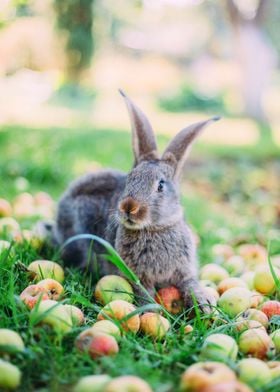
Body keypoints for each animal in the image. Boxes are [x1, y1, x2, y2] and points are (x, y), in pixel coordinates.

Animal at [52, 89, 219, 312]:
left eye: (160, 186)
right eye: (129, 179)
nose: (129, 207)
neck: (155, 229)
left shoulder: (184, 270)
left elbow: (189, 282)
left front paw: (204, 304)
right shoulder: (136, 276)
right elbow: (143, 291)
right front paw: (151, 311)